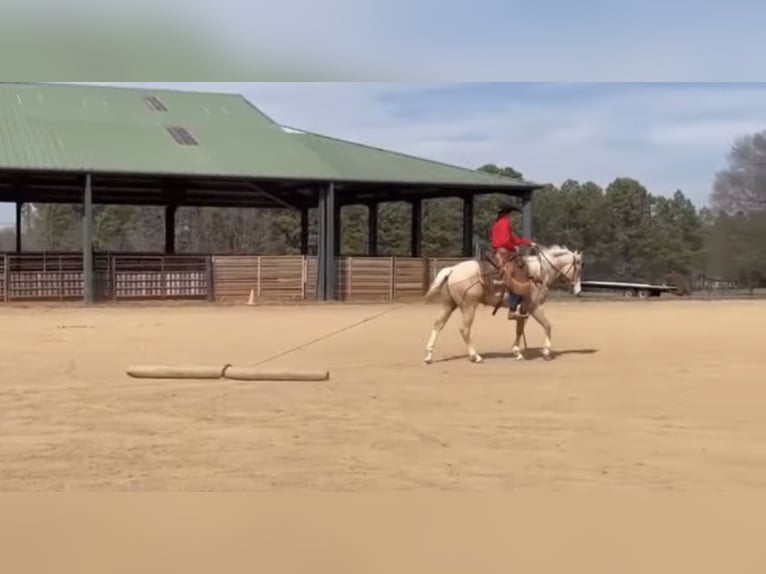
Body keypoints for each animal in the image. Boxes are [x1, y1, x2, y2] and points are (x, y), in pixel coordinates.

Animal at [424, 244, 584, 362]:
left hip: (449, 304)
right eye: (579, 268)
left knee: (438, 324)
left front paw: (517, 352)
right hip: (469, 306)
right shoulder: (535, 307)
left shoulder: (523, 310)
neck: (538, 273)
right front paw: (546, 351)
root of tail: (452, 269)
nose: (578, 291)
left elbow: (519, 329)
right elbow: (547, 326)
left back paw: (429, 356)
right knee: (464, 330)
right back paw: (476, 356)